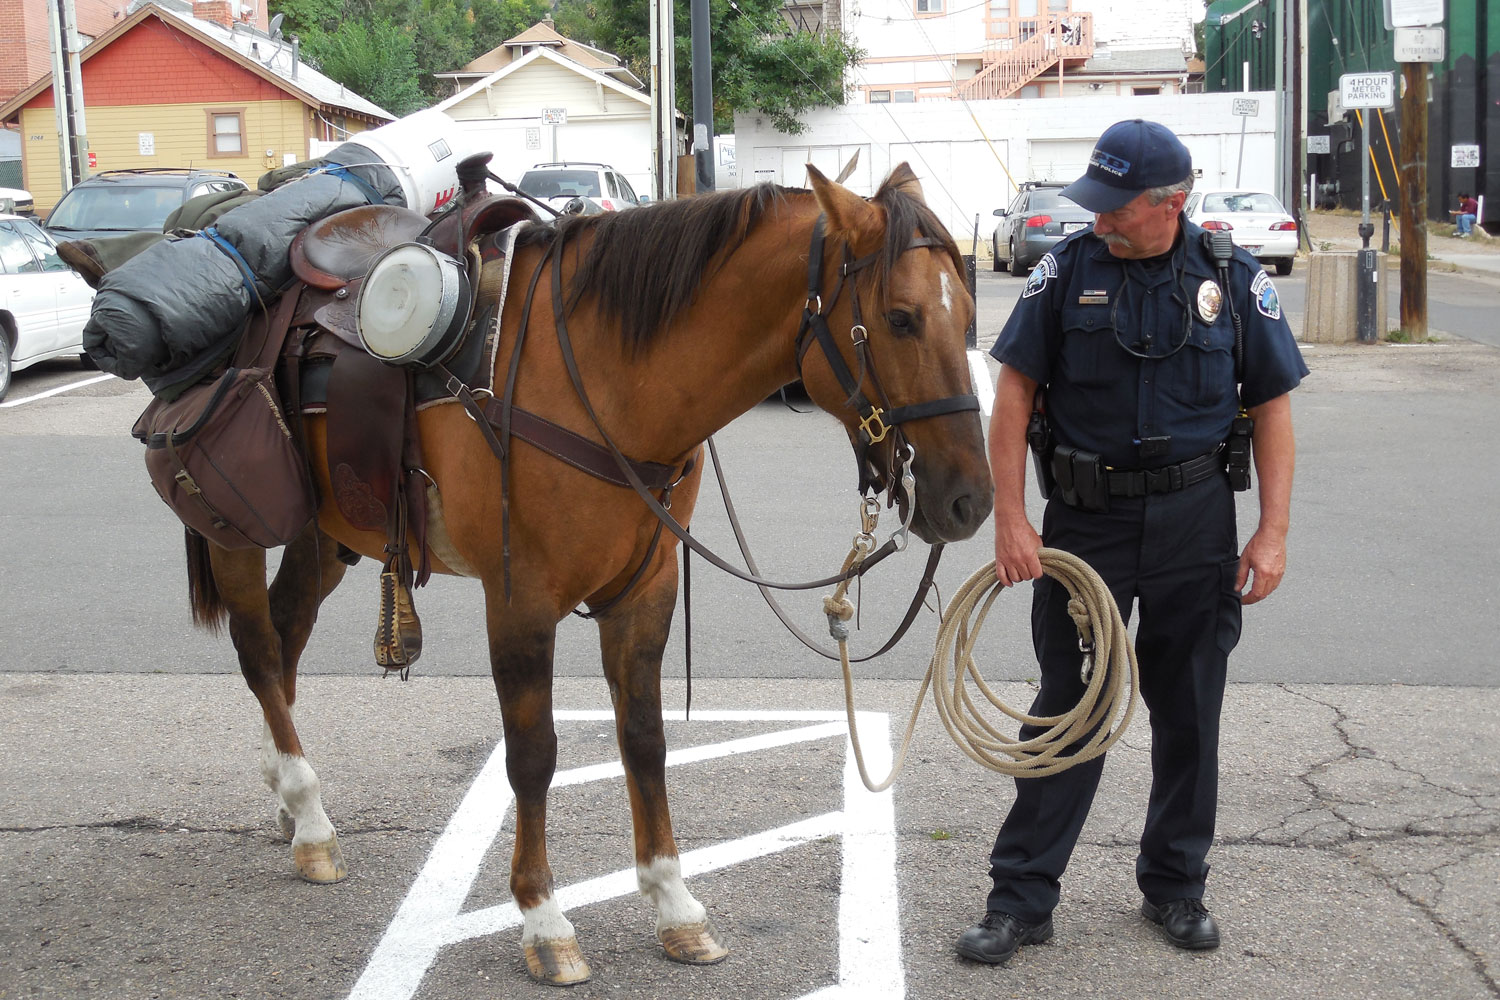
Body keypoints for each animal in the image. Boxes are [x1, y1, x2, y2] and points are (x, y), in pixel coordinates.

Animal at [181, 162, 990, 983]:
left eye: (969, 319)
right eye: (899, 318)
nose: (970, 500)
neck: (603, 378)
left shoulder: (644, 591)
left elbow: (645, 740)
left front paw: (673, 904)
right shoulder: (519, 602)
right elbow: (533, 756)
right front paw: (544, 920)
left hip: (321, 533)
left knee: (286, 634)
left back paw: (291, 801)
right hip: (236, 528)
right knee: (259, 650)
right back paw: (310, 818)